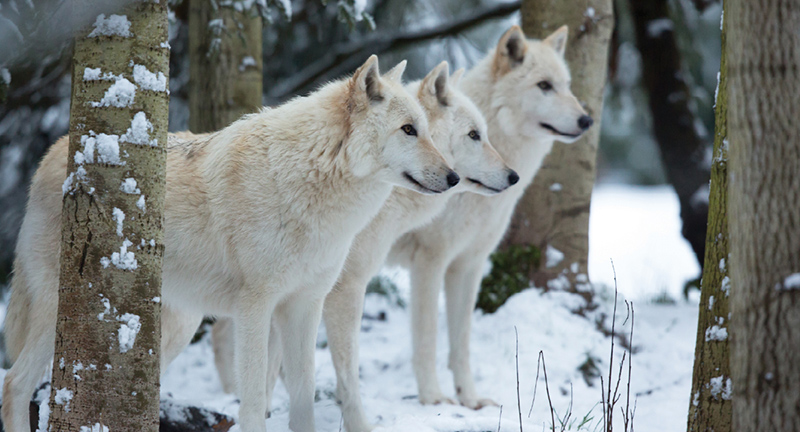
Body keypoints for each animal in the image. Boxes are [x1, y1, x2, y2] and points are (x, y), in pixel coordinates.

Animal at [2, 55, 458, 432]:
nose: (454, 178)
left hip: (172, 329)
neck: (310, 177)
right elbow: (254, 402)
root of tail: (58, 151)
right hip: (62, 314)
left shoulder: (304, 307)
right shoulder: (255, 307)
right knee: (14, 385)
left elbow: (303, 400)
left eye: (426, 130)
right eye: (408, 130)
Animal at [385, 25, 594, 410]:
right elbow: (427, 338)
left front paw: (470, 399)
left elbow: (461, 342)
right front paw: (433, 398)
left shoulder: (469, 264)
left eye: (567, 85)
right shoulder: (430, 262)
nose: (587, 120)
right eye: (544, 85)